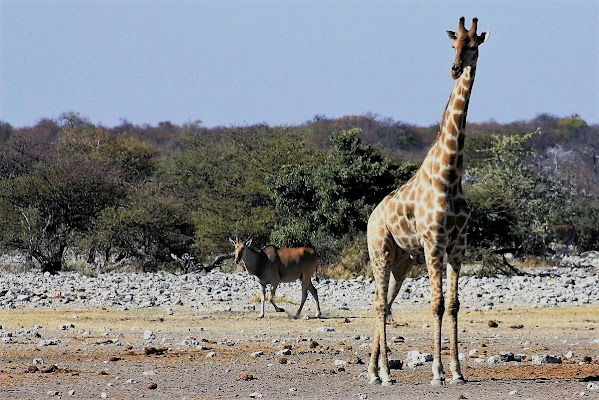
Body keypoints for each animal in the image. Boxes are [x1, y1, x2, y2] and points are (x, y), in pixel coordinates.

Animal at [368, 17, 490, 386]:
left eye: (473, 45)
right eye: (453, 45)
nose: (454, 69)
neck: (449, 174)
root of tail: (371, 217)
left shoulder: (458, 245)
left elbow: (453, 305)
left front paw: (458, 372)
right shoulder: (433, 243)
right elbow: (435, 304)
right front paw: (437, 373)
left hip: (402, 261)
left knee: (385, 302)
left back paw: (374, 371)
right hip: (380, 251)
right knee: (379, 304)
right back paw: (383, 374)